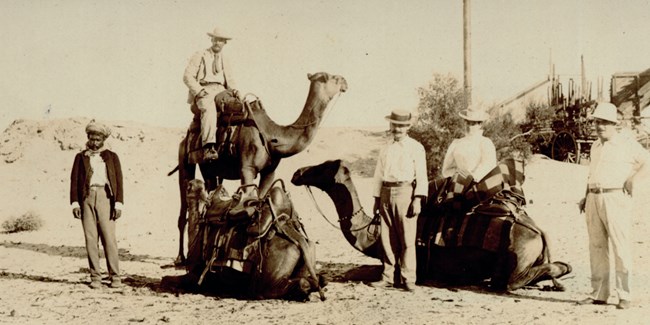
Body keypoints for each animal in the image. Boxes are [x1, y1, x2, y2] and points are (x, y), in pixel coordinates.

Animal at [170, 71, 346, 264]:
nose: (345, 82)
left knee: (209, 189)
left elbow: (262, 199)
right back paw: (180, 258)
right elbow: (247, 199)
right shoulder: (247, 168)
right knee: (183, 207)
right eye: (331, 78)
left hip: (210, 168)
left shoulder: (269, 172)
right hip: (185, 158)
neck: (272, 136)